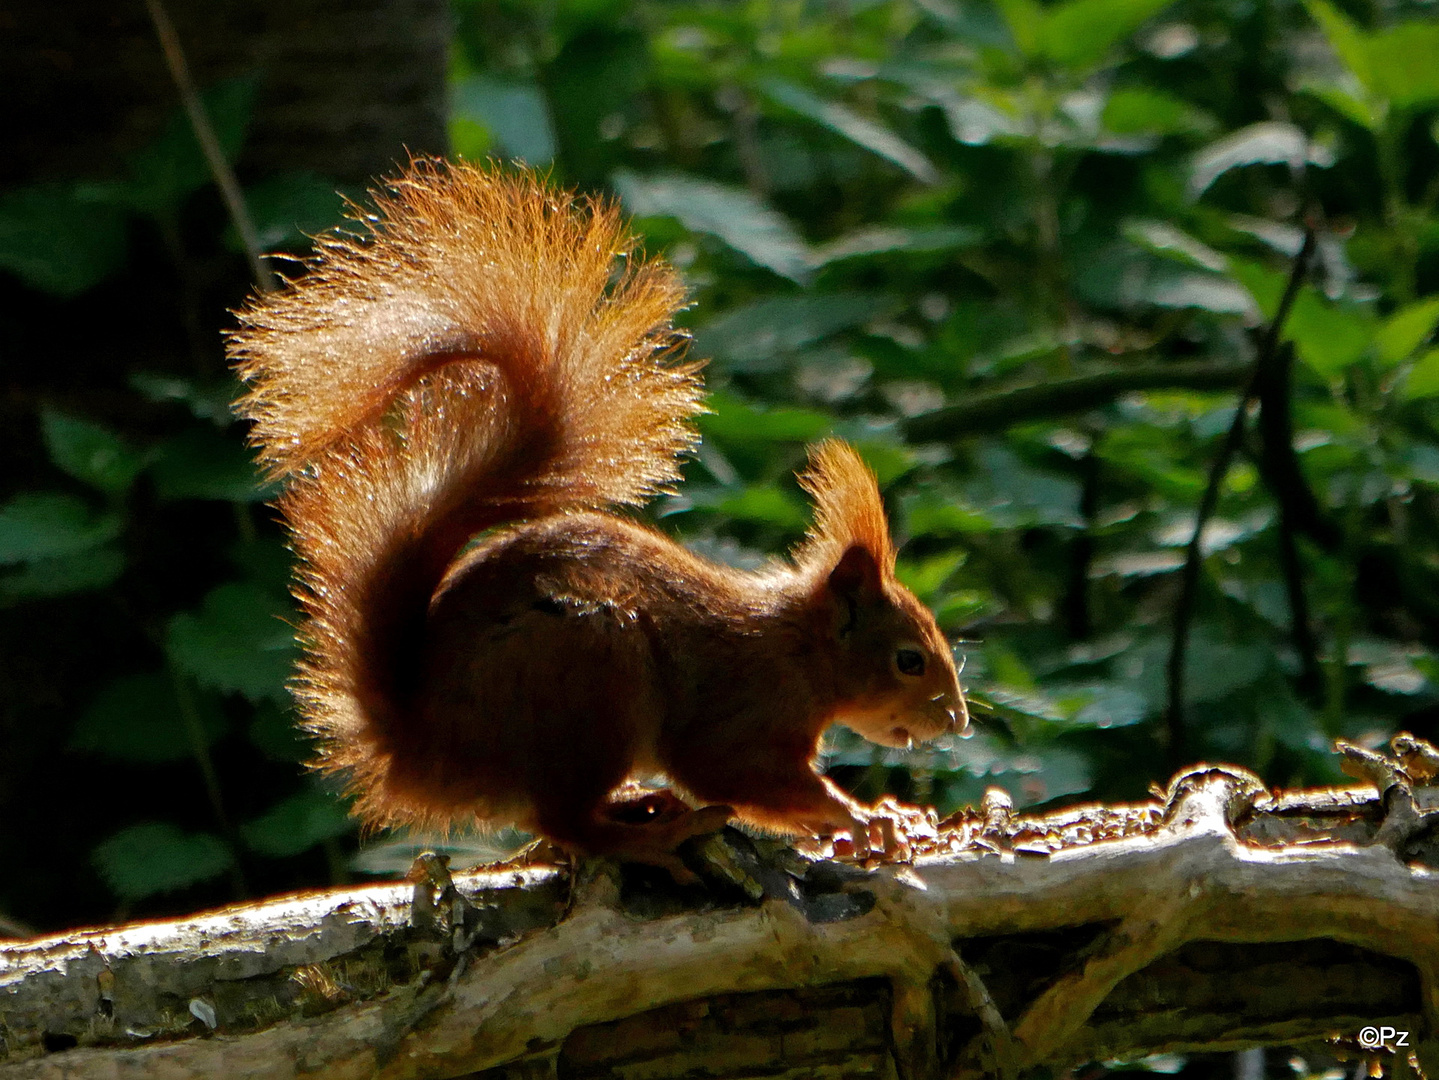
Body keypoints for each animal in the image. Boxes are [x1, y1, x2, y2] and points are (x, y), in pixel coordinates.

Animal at [227, 160, 967, 868]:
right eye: (908, 660)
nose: (958, 722)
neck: (800, 647)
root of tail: (427, 747)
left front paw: (883, 818)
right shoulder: (740, 714)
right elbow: (734, 774)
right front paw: (865, 817)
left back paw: (642, 807)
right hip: (592, 672)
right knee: (563, 822)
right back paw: (650, 837)